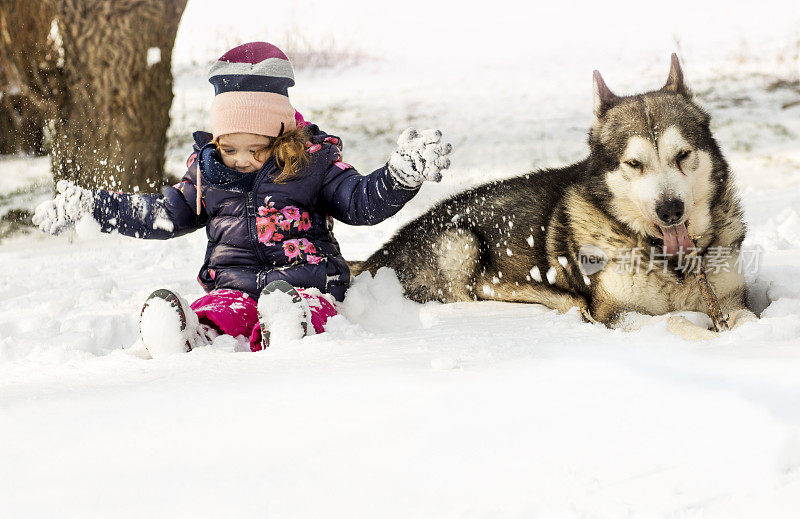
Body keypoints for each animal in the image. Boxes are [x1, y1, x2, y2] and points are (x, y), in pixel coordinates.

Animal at [354, 53, 756, 338]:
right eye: (634, 163)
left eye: (683, 155)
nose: (670, 210)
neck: (669, 260)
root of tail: (379, 254)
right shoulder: (614, 314)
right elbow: (675, 322)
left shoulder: (729, 298)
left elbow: (744, 318)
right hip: (458, 241)